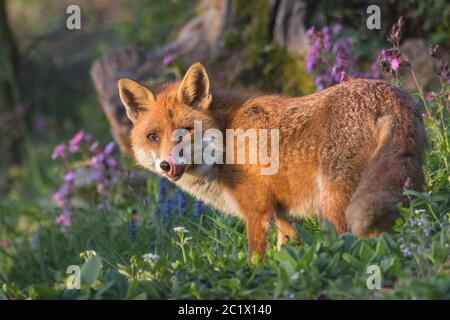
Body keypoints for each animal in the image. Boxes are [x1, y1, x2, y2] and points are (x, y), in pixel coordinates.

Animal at [117, 62, 426, 258]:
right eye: (153, 137)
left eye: (185, 131)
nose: (166, 164)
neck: (227, 139)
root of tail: (390, 93)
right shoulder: (282, 216)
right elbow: (287, 252)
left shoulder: (257, 212)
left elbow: (256, 259)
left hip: (335, 206)